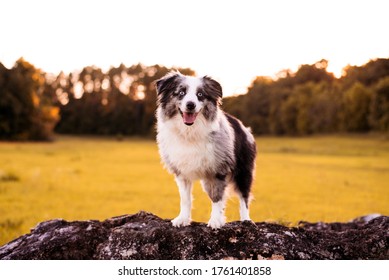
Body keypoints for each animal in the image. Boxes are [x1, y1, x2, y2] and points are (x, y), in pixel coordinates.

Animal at [153, 71, 256, 229]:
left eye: (200, 94)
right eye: (181, 93)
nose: (190, 105)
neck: (190, 132)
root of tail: (242, 125)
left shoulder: (218, 170)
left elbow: (218, 197)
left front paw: (215, 221)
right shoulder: (181, 172)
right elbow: (185, 199)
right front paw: (182, 219)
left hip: (243, 170)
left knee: (244, 196)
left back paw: (246, 220)